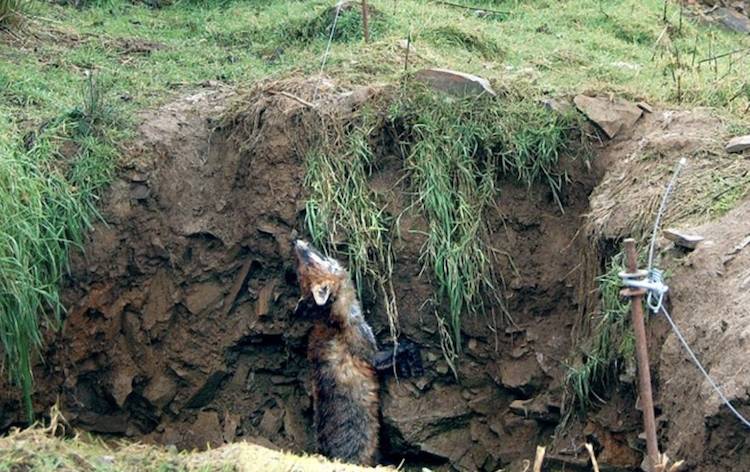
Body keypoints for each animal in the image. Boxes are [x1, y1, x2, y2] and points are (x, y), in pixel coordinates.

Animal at [292, 239, 421, 466]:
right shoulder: (368, 353)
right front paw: (413, 361)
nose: (296, 242)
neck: (334, 322)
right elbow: (401, 348)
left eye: (302, 265)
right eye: (307, 263)